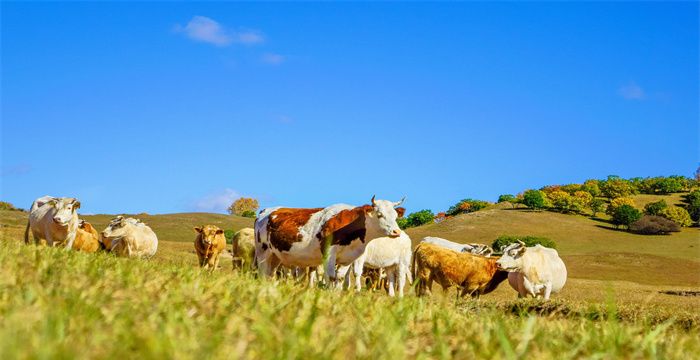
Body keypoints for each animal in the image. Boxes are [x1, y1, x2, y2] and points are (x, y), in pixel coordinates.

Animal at [254, 195, 404, 282]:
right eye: (379, 214)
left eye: (396, 216)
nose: (396, 231)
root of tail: (265, 211)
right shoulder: (329, 253)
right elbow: (331, 277)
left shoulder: (347, 258)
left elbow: (340, 278)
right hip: (262, 252)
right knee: (262, 272)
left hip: (275, 256)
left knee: (269, 274)